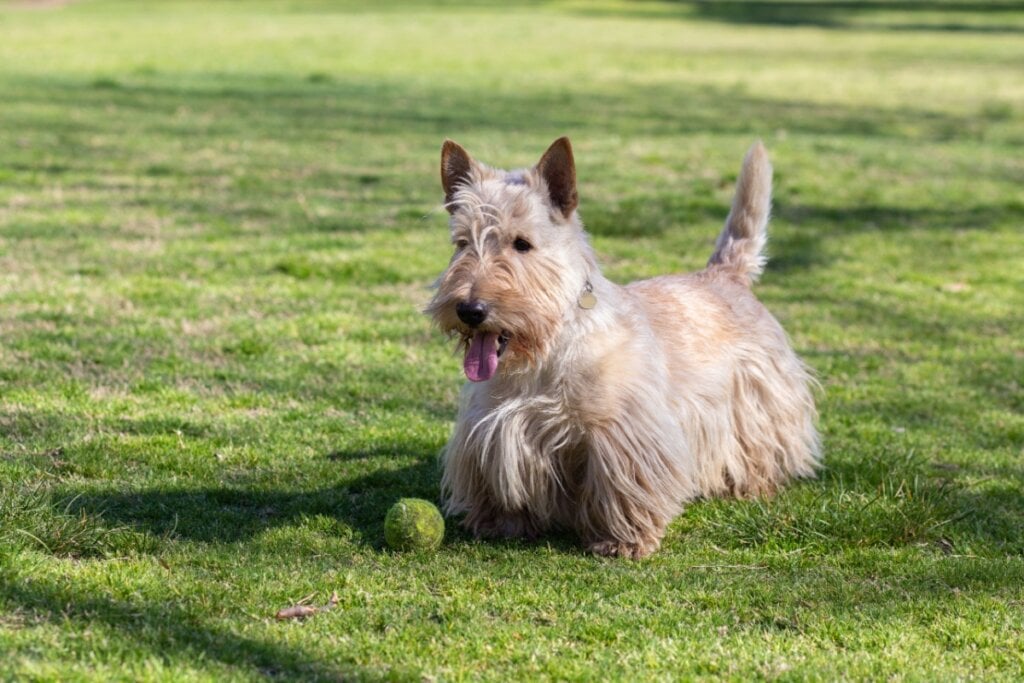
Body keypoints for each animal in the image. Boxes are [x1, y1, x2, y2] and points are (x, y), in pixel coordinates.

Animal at [428, 139, 819, 561]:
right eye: (462, 243)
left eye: (522, 244)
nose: (470, 310)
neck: (546, 349)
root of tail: (725, 274)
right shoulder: (490, 428)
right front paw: (501, 523)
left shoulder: (622, 431)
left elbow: (622, 486)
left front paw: (623, 539)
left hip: (758, 398)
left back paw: (754, 483)